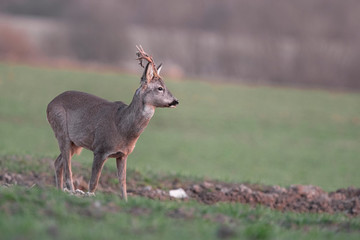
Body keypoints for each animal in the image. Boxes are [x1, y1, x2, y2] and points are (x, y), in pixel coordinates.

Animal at [46, 46, 179, 200]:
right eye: (160, 88)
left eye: (165, 86)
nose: (176, 101)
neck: (122, 126)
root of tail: (49, 104)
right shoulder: (100, 149)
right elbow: (93, 183)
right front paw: (89, 196)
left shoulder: (123, 154)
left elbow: (123, 183)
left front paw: (125, 201)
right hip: (61, 131)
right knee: (68, 168)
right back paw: (71, 191)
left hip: (76, 143)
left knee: (58, 163)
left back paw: (59, 191)